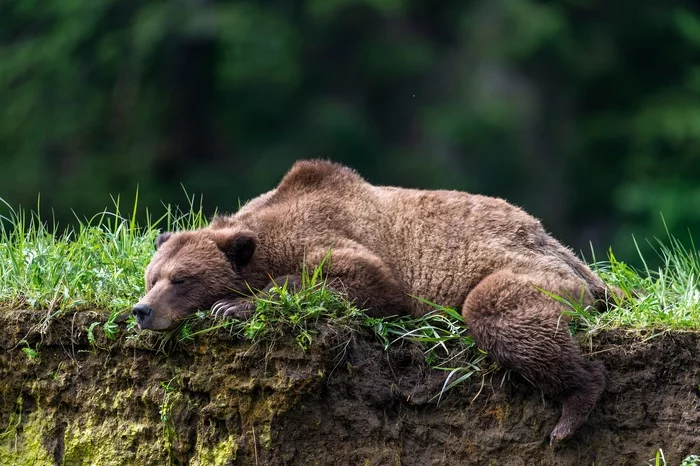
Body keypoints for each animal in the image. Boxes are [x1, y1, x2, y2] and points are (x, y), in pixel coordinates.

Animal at [133, 160, 612, 444]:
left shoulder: (339, 239)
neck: (267, 240)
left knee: (498, 312)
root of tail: (551, 240)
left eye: (181, 279)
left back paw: (571, 411)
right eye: (151, 277)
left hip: (525, 268)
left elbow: (363, 281)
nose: (142, 310)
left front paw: (234, 305)